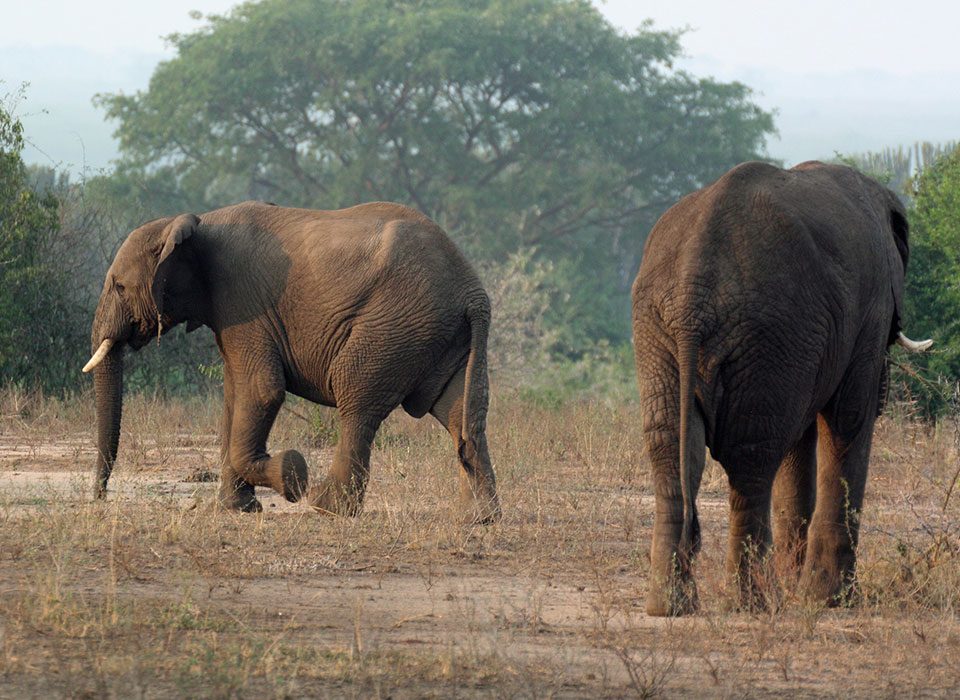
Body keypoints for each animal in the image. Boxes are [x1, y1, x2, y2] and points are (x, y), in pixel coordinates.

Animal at [85, 200, 502, 524]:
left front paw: (292, 477)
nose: (99, 498)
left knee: (357, 401)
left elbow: (261, 391)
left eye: (119, 287)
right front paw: (237, 508)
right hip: (444, 336)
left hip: (394, 325)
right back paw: (477, 517)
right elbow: (234, 397)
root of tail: (472, 292)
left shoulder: (243, 301)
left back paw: (325, 507)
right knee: (460, 413)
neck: (191, 223)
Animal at [632, 161, 932, 616]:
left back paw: (672, 607)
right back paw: (757, 603)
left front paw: (803, 591)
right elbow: (849, 419)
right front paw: (829, 601)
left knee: (671, 450)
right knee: (752, 460)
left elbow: (802, 436)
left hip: (663, 333)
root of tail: (692, 286)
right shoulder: (872, 308)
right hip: (764, 332)